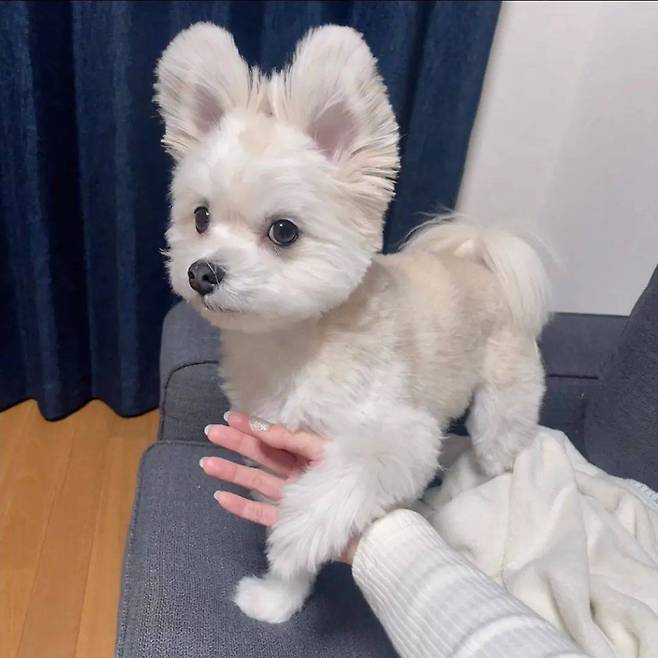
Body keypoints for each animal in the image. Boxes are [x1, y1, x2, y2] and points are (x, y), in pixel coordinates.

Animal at [155, 23, 550, 624]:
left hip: (501, 407)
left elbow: (353, 470)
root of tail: (478, 260)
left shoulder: (401, 432)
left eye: (283, 231)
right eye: (200, 218)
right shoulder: (276, 451)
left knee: (497, 456)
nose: (201, 272)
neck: (295, 346)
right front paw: (279, 597)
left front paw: (299, 532)